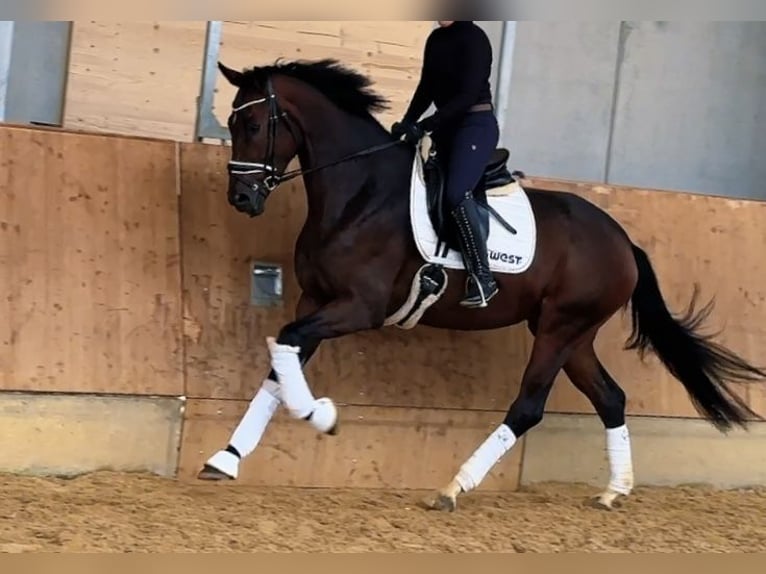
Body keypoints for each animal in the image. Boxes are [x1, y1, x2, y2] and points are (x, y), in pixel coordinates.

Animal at [200, 58, 766, 512]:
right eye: (230, 121)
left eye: (254, 122)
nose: (241, 198)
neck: (361, 193)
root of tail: (623, 241)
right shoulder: (314, 299)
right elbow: (281, 360)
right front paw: (226, 458)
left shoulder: (358, 306)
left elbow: (287, 344)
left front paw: (320, 415)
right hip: (574, 335)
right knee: (610, 399)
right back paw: (613, 491)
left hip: (560, 329)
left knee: (529, 407)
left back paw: (453, 488)